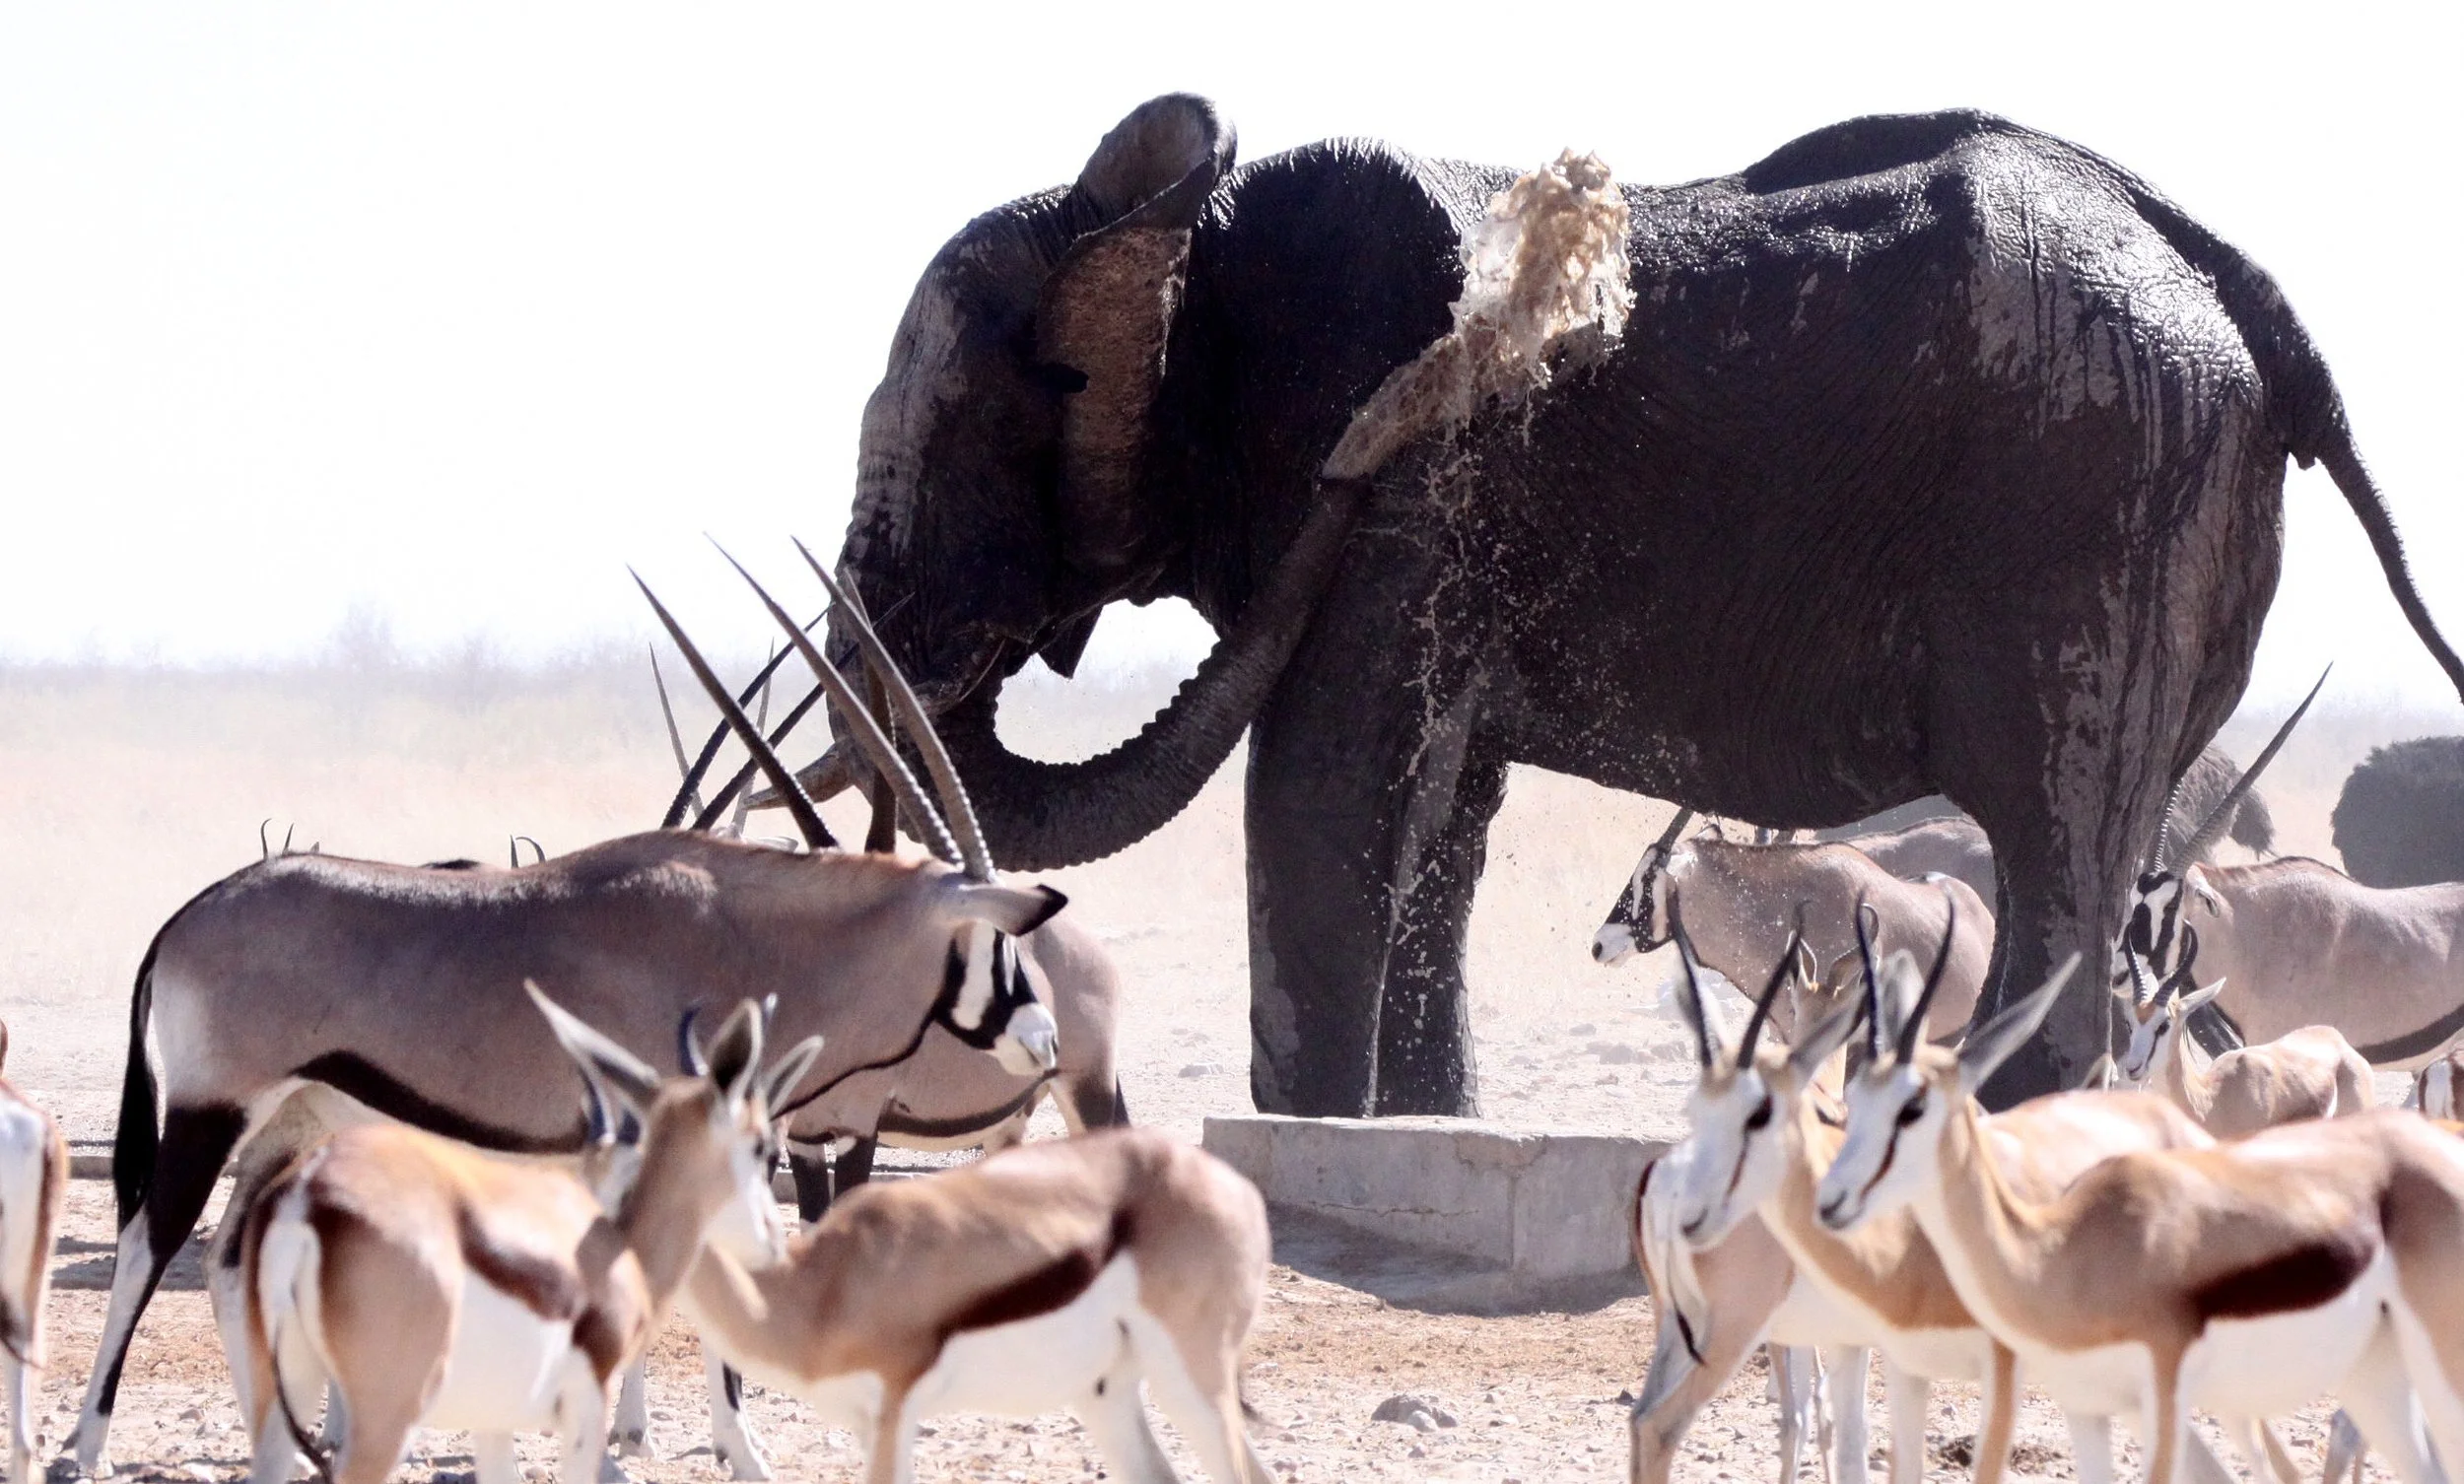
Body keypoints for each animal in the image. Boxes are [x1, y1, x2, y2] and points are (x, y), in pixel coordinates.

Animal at [819, 94, 2464, 1112]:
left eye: (983, 421)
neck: (1192, 232)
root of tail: (2242, 284)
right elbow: (1437, 817)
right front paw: (1416, 1130)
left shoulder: (1411, 496)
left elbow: (1329, 784)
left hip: (2094, 504)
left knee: (2057, 854)